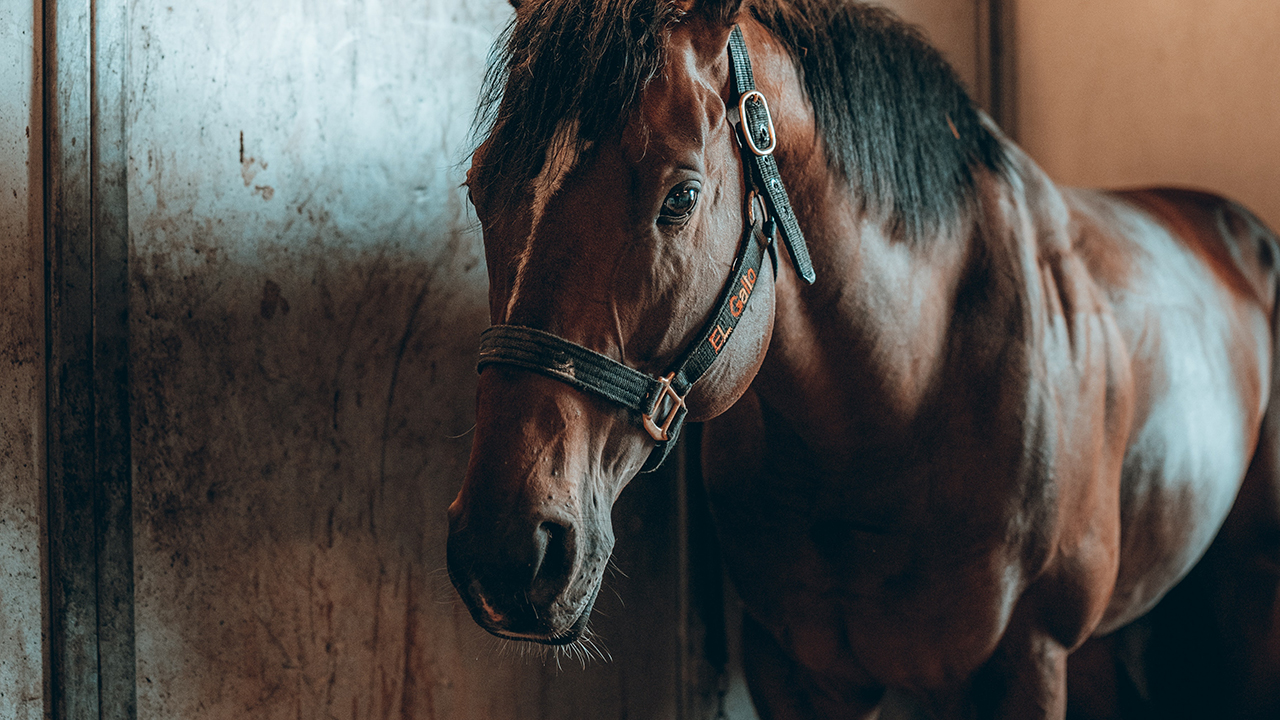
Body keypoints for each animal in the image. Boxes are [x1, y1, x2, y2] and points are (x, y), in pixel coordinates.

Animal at [446, 0, 1280, 717]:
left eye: (679, 197)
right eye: (480, 188)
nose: (504, 551)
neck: (903, 402)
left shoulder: (1027, 664)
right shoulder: (796, 672)